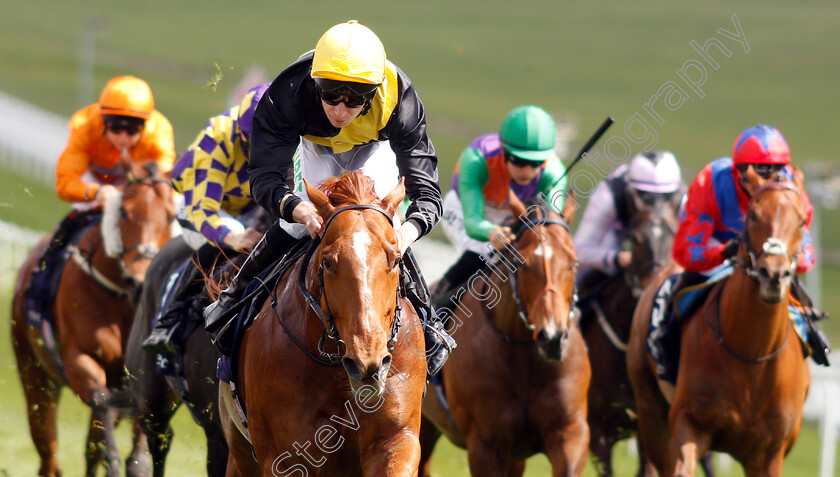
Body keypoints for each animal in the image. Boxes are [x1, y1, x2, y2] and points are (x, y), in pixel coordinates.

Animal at [10, 157, 174, 476]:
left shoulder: (139, 381)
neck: (123, 300)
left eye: (171, 216)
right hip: (34, 375)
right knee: (49, 452)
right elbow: (102, 413)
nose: (138, 281)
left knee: (90, 446)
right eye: (124, 211)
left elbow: (135, 457)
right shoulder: (80, 360)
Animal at [221, 172, 426, 476]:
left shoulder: (396, 440)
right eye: (328, 262)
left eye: (396, 260)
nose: (367, 365)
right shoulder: (284, 457)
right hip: (241, 453)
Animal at [628, 170, 812, 472]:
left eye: (801, 220)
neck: (752, 356)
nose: (773, 274)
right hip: (649, 406)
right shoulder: (688, 423)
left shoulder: (770, 453)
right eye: (753, 215)